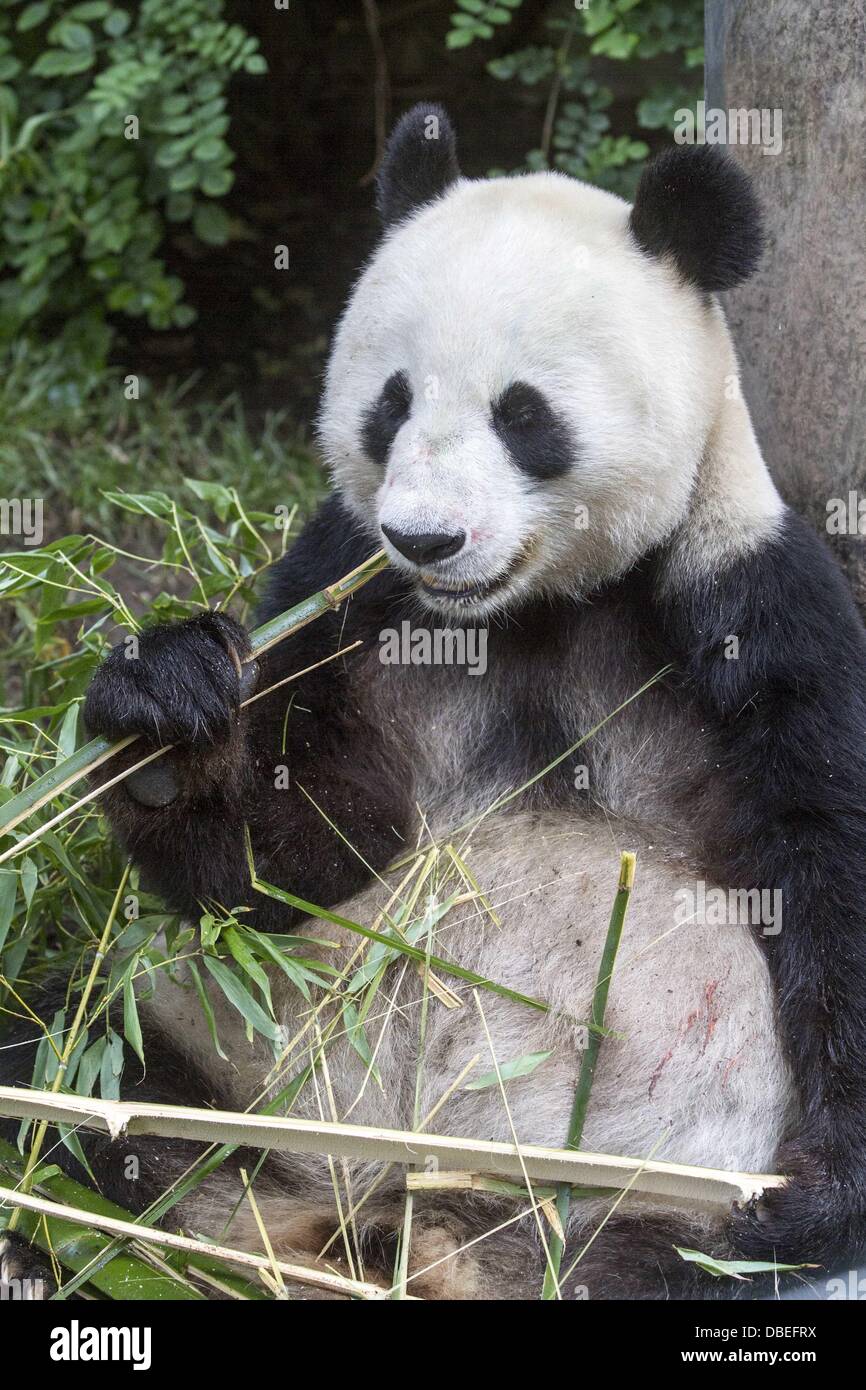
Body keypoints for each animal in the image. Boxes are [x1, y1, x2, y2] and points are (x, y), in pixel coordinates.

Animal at [3, 105, 866, 1302]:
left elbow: (820, 862)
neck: (524, 607)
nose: (424, 538)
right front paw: (170, 729)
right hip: (224, 1053)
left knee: (666, 1259)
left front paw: (822, 1185)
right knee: (68, 1056)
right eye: (392, 402)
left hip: (629, 1191)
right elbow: (293, 865)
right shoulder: (341, 595)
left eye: (524, 414)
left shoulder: (746, 605)